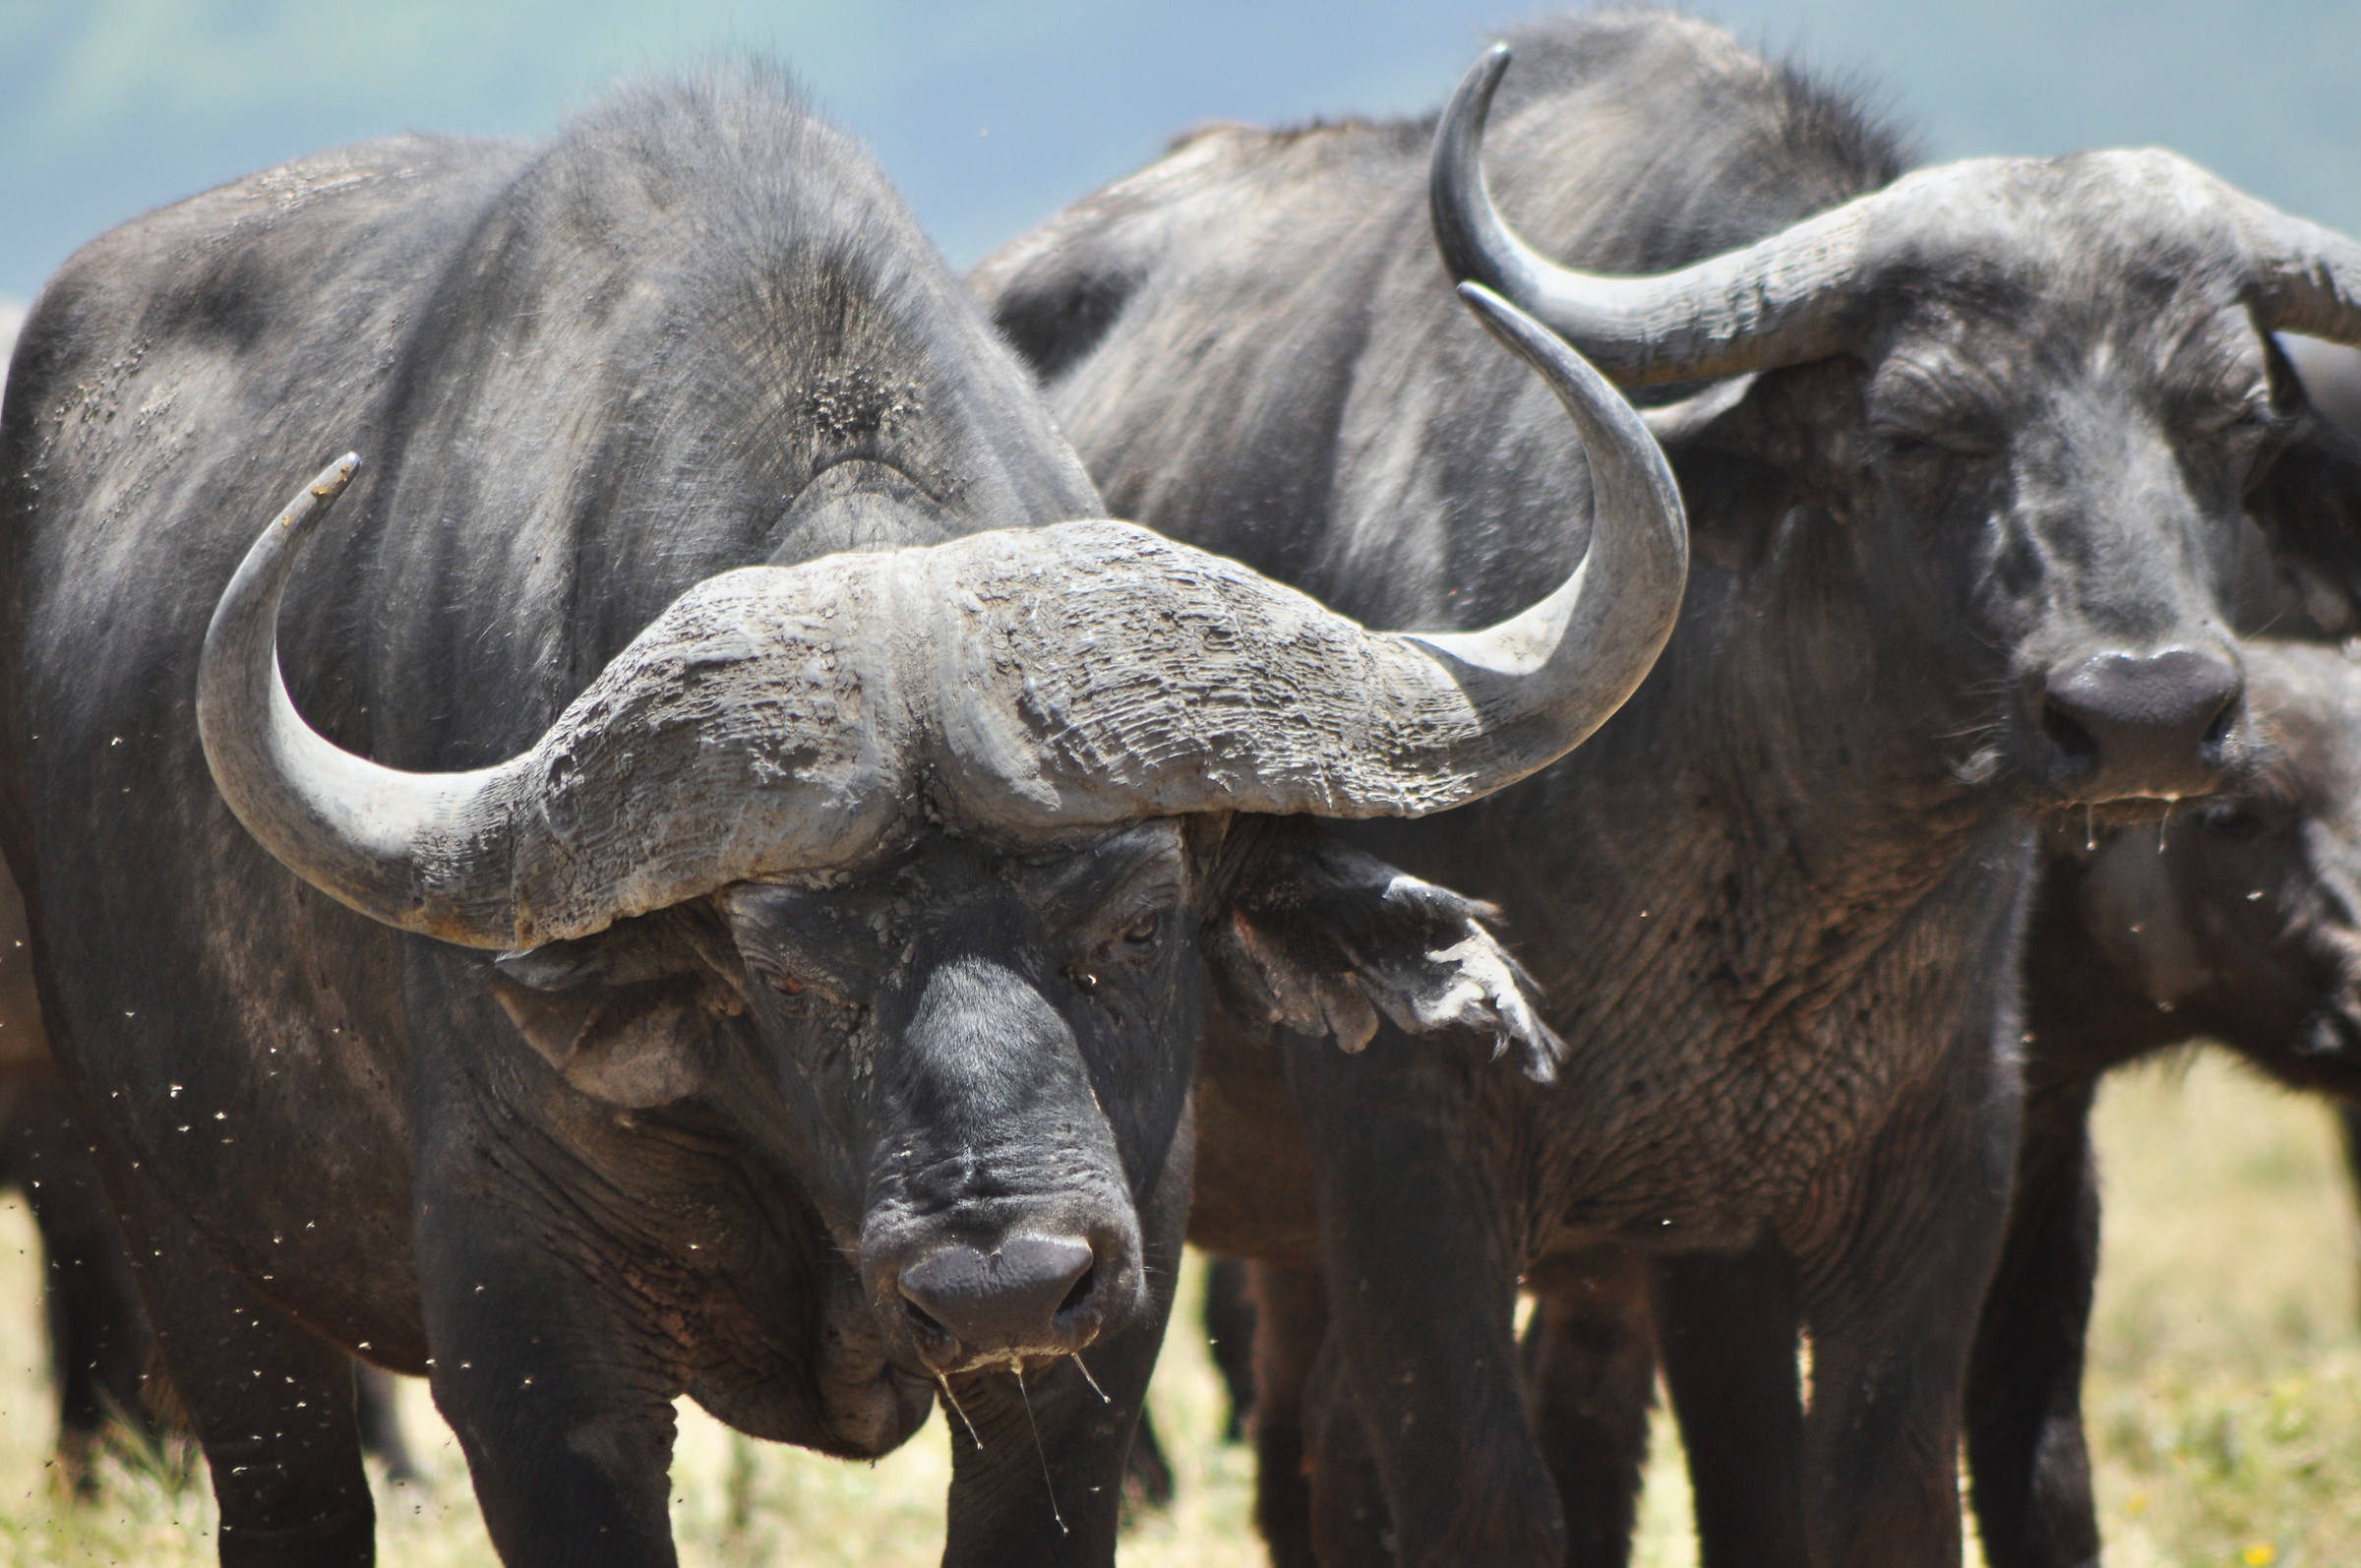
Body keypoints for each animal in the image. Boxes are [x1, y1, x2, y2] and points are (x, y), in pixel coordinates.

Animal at [0, 71, 1682, 1566]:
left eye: (1140, 926)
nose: (1001, 1284)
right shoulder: (527, 1325)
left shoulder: (1102, 1335)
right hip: (185, 1234)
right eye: (793, 976)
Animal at [974, 10, 2361, 1562]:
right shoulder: (1412, 1158)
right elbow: (1488, 1496)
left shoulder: (1926, 1167)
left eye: (2231, 423)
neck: (1767, 854)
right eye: (1924, 431)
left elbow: (1863, 1490)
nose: (2146, 714)